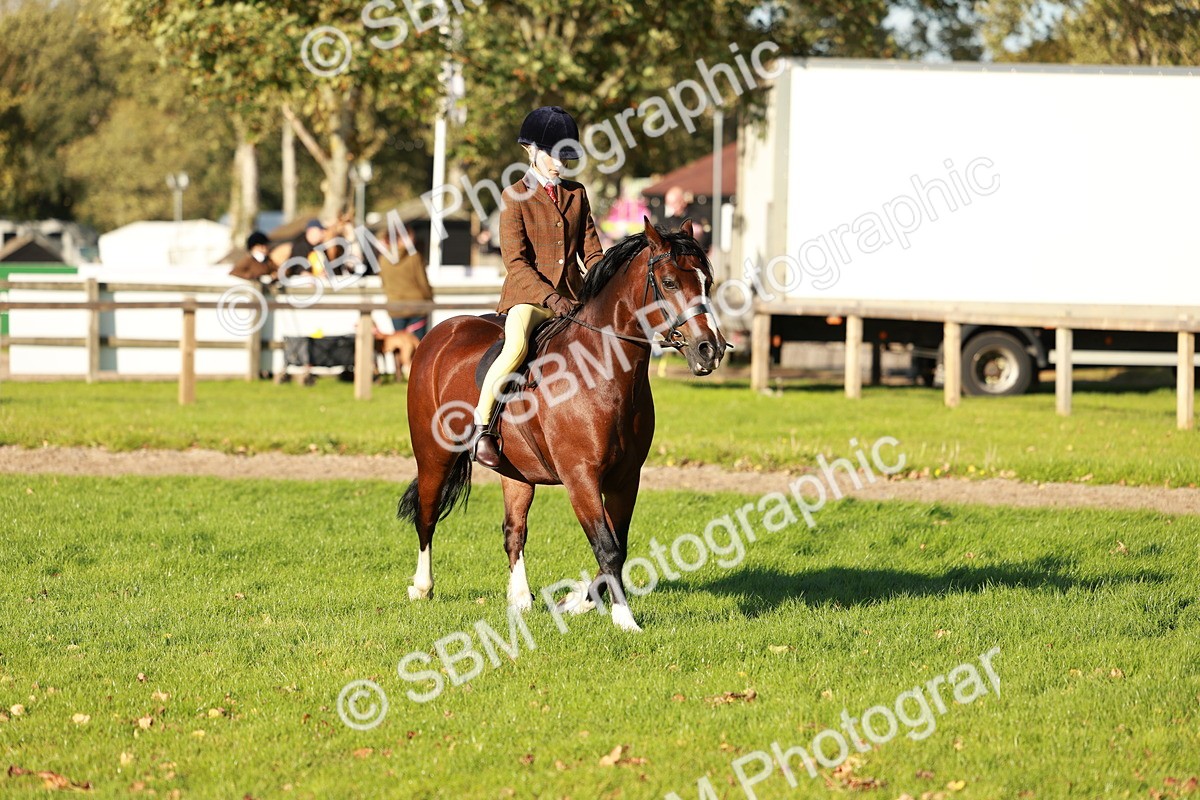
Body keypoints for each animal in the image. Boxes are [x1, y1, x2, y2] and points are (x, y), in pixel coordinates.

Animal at [396, 219, 728, 632]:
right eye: (668, 282)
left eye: (706, 281)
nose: (710, 349)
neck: (603, 371)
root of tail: (440, 332)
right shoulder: (580, 477)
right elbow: (607, 546)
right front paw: (624, 620)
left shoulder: (626, 478)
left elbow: (619, 544)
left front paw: (577, 602)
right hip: (433, 456)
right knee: (426, 516)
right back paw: (422, 587)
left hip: (516, 472)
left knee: (514, 531)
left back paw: (521, 599)